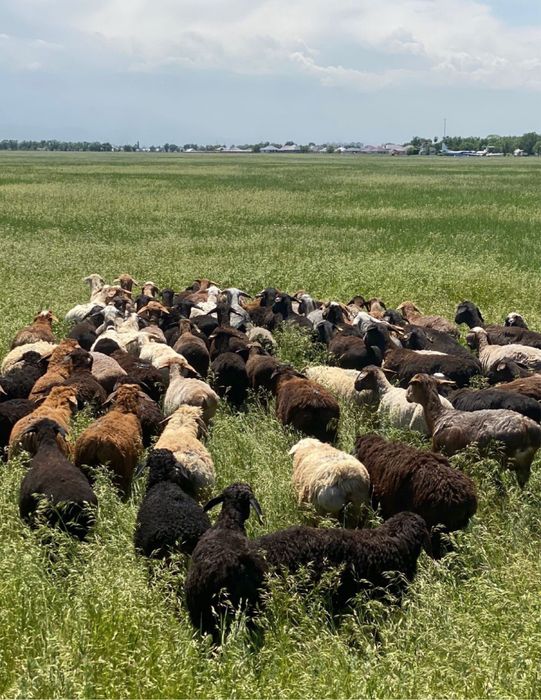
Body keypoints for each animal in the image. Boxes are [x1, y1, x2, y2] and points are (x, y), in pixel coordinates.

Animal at [406, 373, 541, 486]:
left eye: (411, 384)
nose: (407, 397)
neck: (438, 416)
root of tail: (528, 426)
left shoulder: (442, 451)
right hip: (523, 462)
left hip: (502, 458)